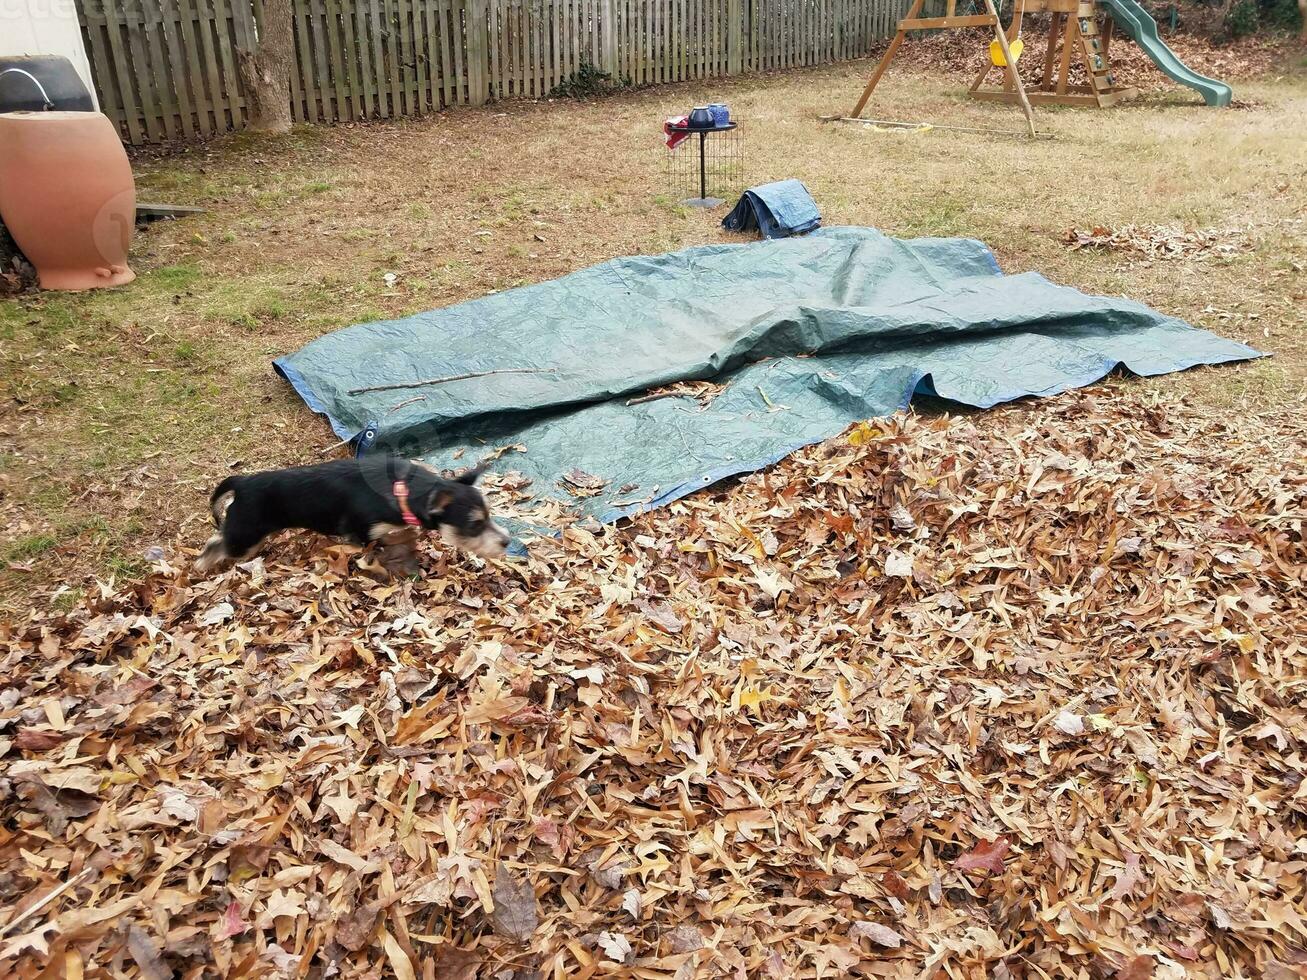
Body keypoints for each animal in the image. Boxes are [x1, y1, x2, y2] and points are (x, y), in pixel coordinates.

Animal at [196, 459, 507, 574]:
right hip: (246, 534)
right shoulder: (358, 532)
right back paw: (201, 568)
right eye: (475, 524)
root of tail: (242, 482)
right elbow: (372, 550)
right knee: (216, 543)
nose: (506, 542)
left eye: (489, 515)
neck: (403, 491)